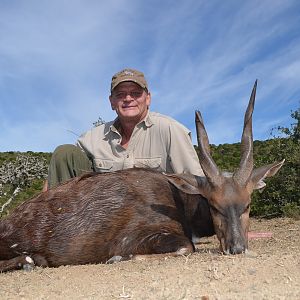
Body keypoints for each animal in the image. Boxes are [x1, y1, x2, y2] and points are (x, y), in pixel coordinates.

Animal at [0, 80, 284, 272]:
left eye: (247, 205)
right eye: (214, 206)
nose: (236, 248)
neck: (179, 201)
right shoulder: (137, 237)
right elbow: (186, 247)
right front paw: (118, 259)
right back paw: (30, 261)